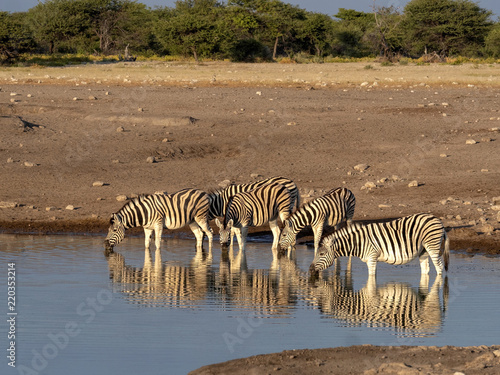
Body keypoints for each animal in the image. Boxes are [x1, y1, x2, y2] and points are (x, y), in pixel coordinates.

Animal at [308, 214, 450, 280]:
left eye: (321, 254)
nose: (310, 270)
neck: (358, 242)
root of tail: (438, 220)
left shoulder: (372, 257)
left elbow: (371, 278)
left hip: (432, 246)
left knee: (439, 267)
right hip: (423, 250)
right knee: (426, 269)